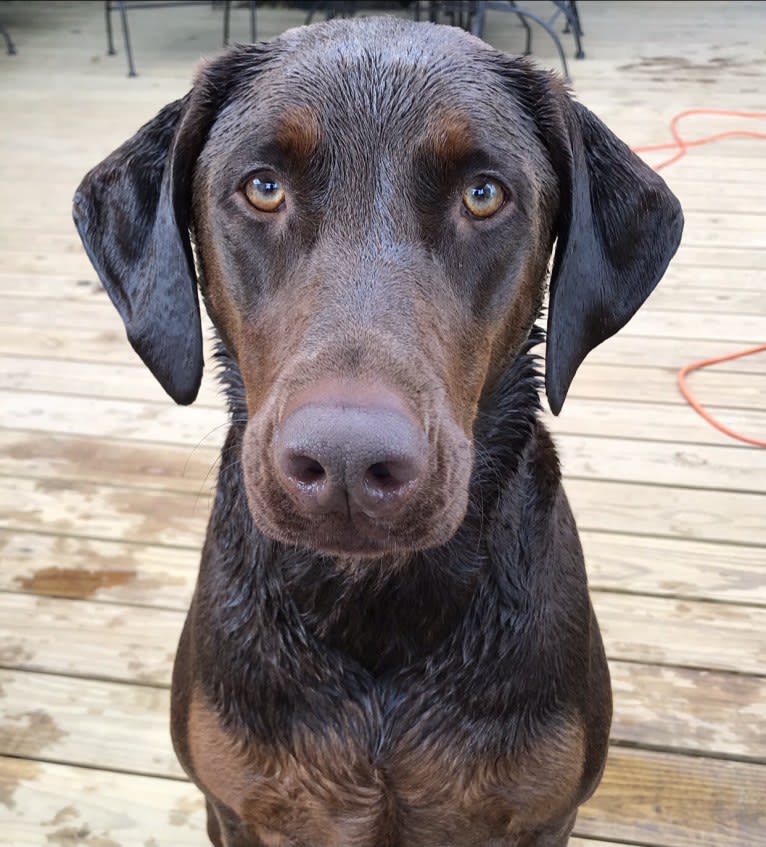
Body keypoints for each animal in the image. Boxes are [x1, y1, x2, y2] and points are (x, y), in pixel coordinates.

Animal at [72, 18, 684, 847]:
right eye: (263, 187)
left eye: (483, 194)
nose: (347, 464)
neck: (376, 603)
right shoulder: (238, 807)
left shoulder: (542, 810)